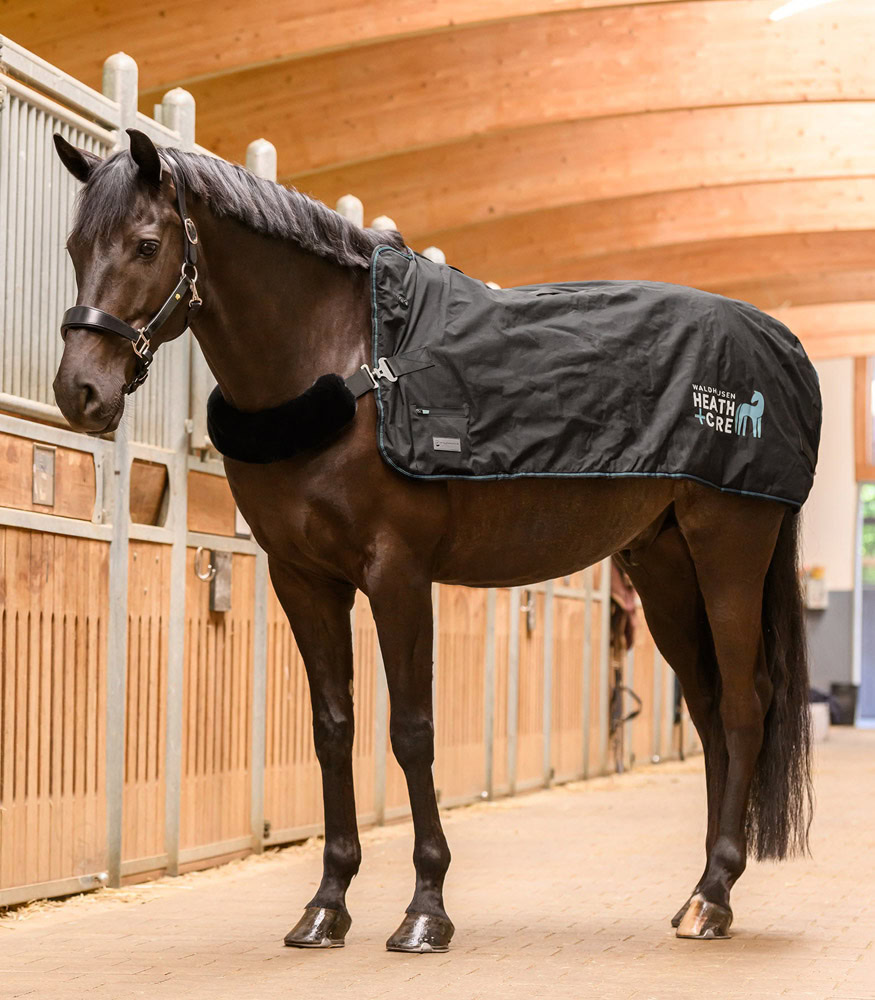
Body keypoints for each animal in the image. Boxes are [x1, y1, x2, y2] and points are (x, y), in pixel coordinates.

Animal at [51, 129, 814, 952]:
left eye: (146, 244)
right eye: (74, 246)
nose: (79, 392)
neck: (349, 363)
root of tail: (777, 343)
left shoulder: (397, 573)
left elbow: (412, 730)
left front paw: (425, 909)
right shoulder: (303, 579)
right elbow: (333, 729)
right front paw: (326, 906)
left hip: (727, 549)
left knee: (744, 704)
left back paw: (713, 897)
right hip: (665, 567)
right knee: (706, 709)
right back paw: (700, 891)